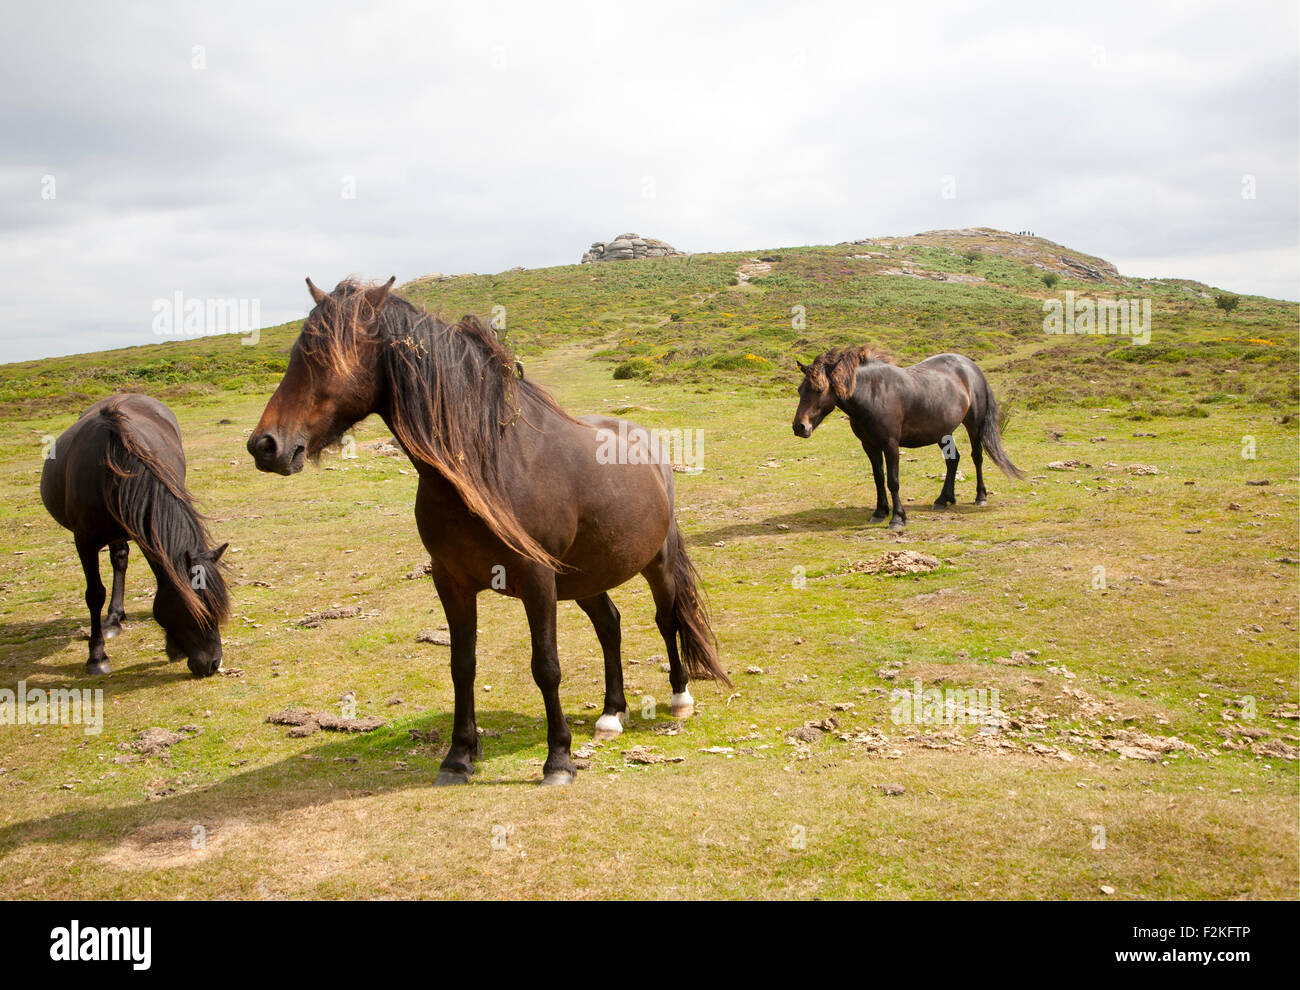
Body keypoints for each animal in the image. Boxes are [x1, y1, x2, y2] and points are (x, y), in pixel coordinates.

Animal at [38, 392, 231, 670]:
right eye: (196, 610)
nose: (213, 663)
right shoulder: (84, 541)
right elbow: (94, 594)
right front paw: (97, 656)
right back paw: (110, 623)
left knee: (120, 560)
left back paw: (115, 616)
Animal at [248, 274, 728, 784]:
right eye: (297, 354)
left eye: (330, 357)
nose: (266, 445)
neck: (490, 463)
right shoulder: (451, 581)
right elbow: (462, 665)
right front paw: (459, 755)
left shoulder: (537, 580)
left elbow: (546, 667)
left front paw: (558, 760)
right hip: (585, 576)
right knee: (610, 626)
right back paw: (611, 714)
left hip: (656, 563)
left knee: (666, 619)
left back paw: (679, 698)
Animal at [790, 348, 1024, 532]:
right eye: (800, 390)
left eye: (819, 389)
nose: (799, 427)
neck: (873, 394)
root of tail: (972, 368)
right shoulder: (869, 446)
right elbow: (879, 478)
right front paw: (879, 512)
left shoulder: (891, 445)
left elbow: (893, 481)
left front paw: (897, 518)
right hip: (943, 431)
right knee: (953, 460)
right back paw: (943, 500)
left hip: (974, 425)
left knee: (977, 457)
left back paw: (980, 497)